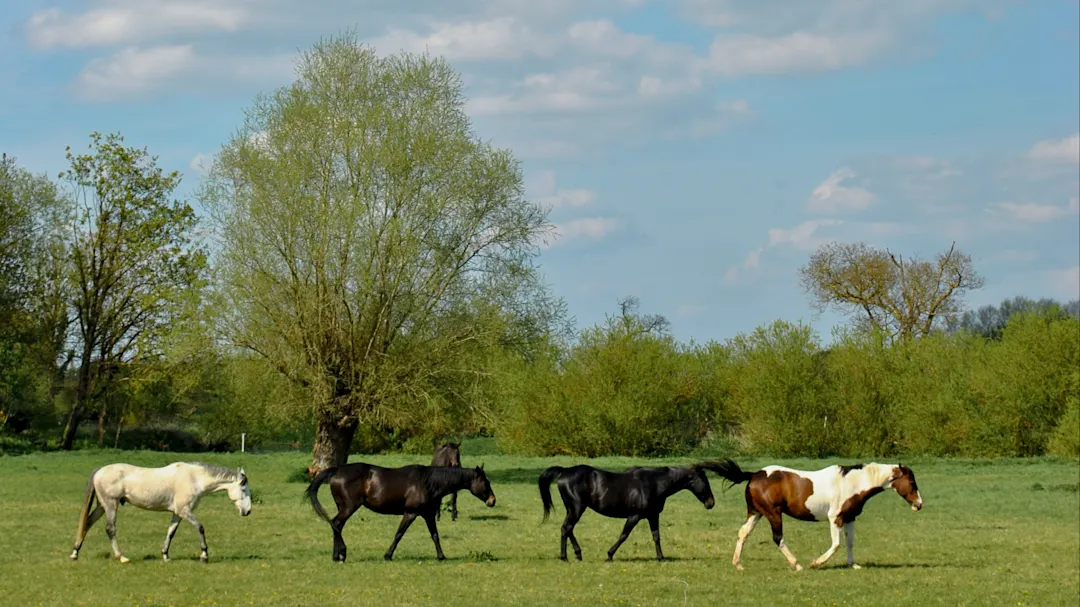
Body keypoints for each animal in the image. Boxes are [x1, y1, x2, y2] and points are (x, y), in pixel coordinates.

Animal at [70, 462, 252, 564]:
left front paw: (165, 556)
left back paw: (75, 553)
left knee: (87, 523)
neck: (194, 478)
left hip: (102, 506)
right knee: (110, 529)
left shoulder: (178, 513)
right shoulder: (185, 511)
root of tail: (100, 470)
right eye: (243, 489)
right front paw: (204, 555)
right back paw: (121, 557)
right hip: (111, 504)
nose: (248, 511)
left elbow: (171, 533)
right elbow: (200, 527)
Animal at [306, 461, 496, 562]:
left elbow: (435, 535)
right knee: (336, 524)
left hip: (344, 507)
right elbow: (399, 534)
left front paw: (441, 556)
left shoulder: (428, 515)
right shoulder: (410, 513)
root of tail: (337, 470)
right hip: (348, 507)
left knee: (336, 525)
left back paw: (337, 555)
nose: (493, 501)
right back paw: (341, 554)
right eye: (485, 483)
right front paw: (388, 555)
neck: (428, 483)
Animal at [538, 463, 719, 562]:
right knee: (566, 528)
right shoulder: (635, 516)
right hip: (576, 508)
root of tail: (564, 471)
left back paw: (576, 554)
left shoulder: (652, 516)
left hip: (573, 509)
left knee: (567, 529)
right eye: (704, 480)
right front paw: (609, 555)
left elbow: (656, 536)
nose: (711, 503)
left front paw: (661, 557)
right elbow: (624, 535)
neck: (654, 484)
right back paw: (567, 556)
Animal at [709, 459, 923, 571]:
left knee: (743, 533)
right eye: (912, 483)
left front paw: (853, 565)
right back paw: (797, 565)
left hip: (756, 513)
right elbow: (836, 544)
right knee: (778, 538)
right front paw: (816, 562)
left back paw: (737, 564)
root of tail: (754, 474)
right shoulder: (835, 518)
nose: (919, 505)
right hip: (773, 514)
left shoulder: (850, 518)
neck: (852, 483)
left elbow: (849, 543)